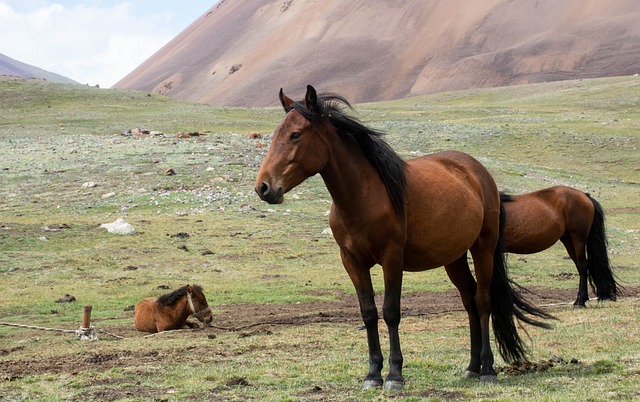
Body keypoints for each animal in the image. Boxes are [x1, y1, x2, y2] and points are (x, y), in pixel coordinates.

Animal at [252, 85, 552, 390]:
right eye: (275, 134)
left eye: (295, 135)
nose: (263, 187)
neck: (364, 196)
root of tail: (479, 173)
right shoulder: (352, 262)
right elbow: (369, 313)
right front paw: (372, 373)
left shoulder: (392, 259)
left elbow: (391, 312)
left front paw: (395, 375)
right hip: (454, 258)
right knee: (468, 300)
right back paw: (472, 367)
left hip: (483, 249)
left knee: (482, 301)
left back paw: (488, 368)